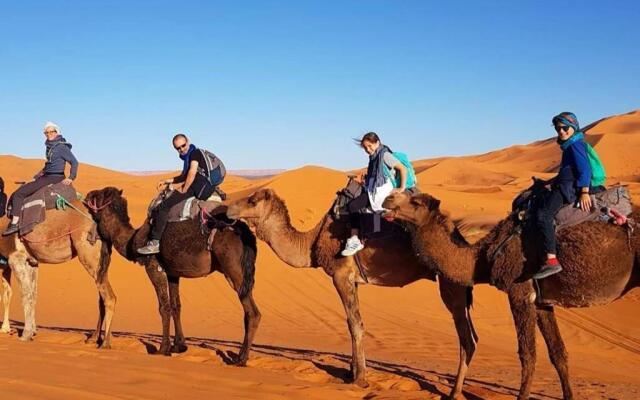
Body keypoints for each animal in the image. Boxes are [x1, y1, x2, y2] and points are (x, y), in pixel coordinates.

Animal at [0, 202, 114, 346]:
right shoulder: (30, 261)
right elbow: (30, 294)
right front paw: (29, 330)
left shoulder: (15, 258)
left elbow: (24, 294)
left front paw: (24, 334)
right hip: (102, 261)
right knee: (102, 297)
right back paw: (95, 338)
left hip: (89, 254)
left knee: (109, 297)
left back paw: (105, 343)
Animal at [85, 187, 260, 362]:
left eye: (99, 195)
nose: (87, 194)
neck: (132, 240)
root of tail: (246, 233)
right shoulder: (172, 273)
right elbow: (176, 306)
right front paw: (179, 346)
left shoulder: (153, 266)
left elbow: (164, 307)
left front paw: (163, 349)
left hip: (233, 269)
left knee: (252, 312)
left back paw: (241, 359)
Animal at [228, 188, 478, 400]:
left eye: (251, 201)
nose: (228, 208)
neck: (312, 243)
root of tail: (462, 240)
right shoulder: (353, 281)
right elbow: (352, 322)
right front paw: (351, 372)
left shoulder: (340, 275)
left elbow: (355, 324)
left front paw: (360, 379)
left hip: (451, 284)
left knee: (466, 339)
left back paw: (455, 392)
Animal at [382, 192, 636, 398]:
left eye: (415, 202)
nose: (387, 199)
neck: (481, 259)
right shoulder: (542, 300)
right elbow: (557, 353)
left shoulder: (519, 291)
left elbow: (527, 353)